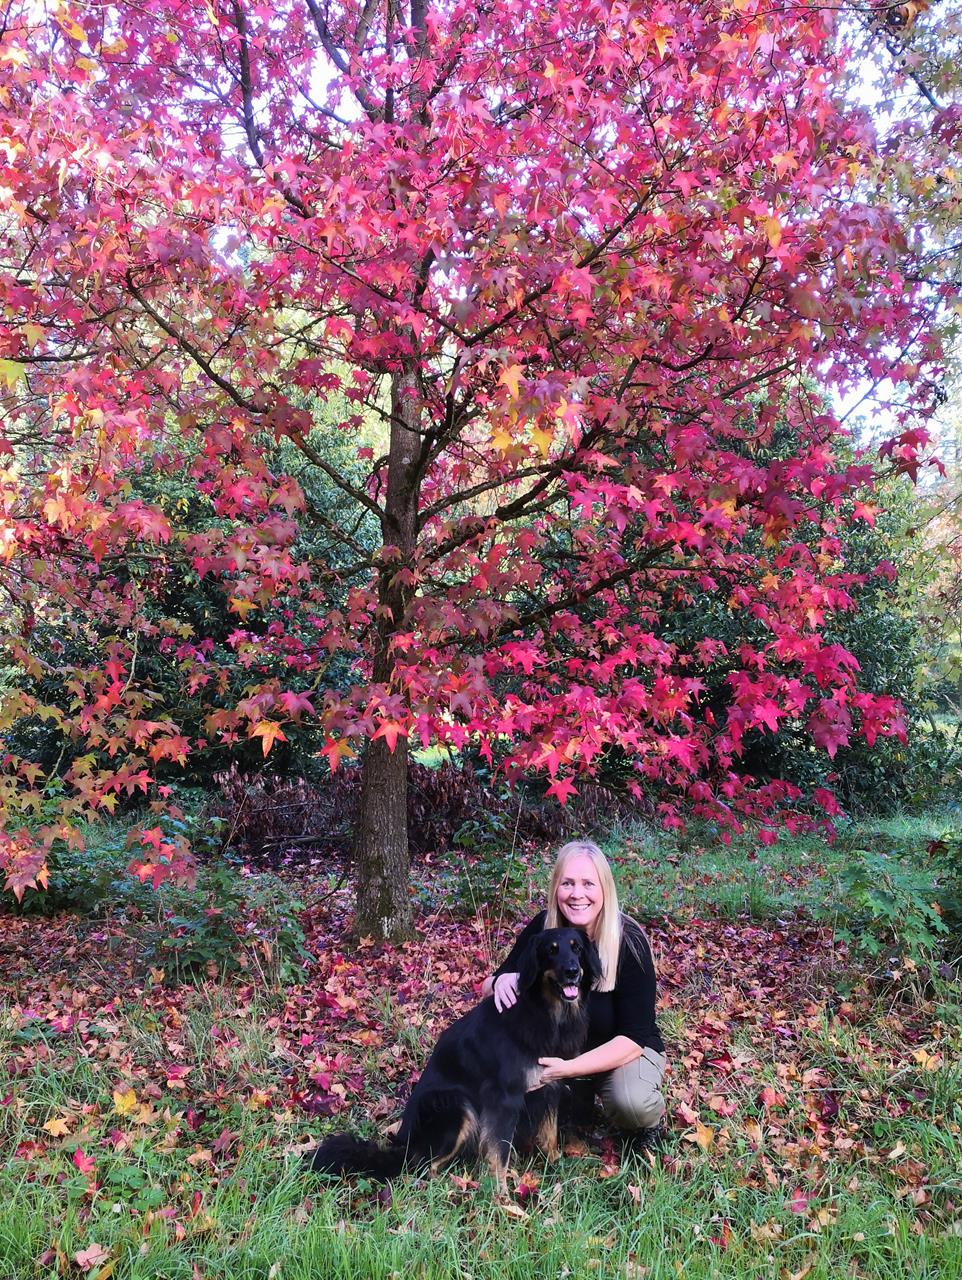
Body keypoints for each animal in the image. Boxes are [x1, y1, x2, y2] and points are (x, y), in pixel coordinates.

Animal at [308, 927, 601, 1194]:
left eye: (576, 948)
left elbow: (549, 1133)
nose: (573, 971)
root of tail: (402, 1145)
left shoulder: (550, 1084)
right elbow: (499, 1152)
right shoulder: (503, 1097)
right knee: (422, 1167)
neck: (546, 1012)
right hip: (456, 1105)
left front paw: (556, 1164)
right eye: (551, 950)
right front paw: (501, 1196)